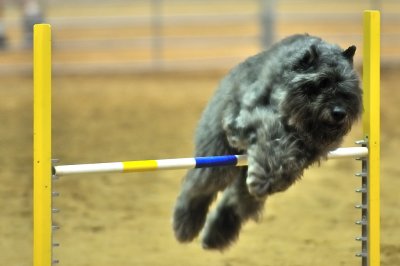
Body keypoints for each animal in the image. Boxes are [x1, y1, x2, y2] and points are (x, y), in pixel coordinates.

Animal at [172, 34, 362, 250]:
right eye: (322, 82)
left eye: (348, 86)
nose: (339, 112)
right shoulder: (254, 117)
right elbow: (274, 141)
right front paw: (268, 175)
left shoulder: (313, 147)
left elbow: (292, 157)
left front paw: (275, 177)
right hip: (217, 159)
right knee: (199, 187)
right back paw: (186, 225)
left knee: (237, 201)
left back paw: (216, 235)